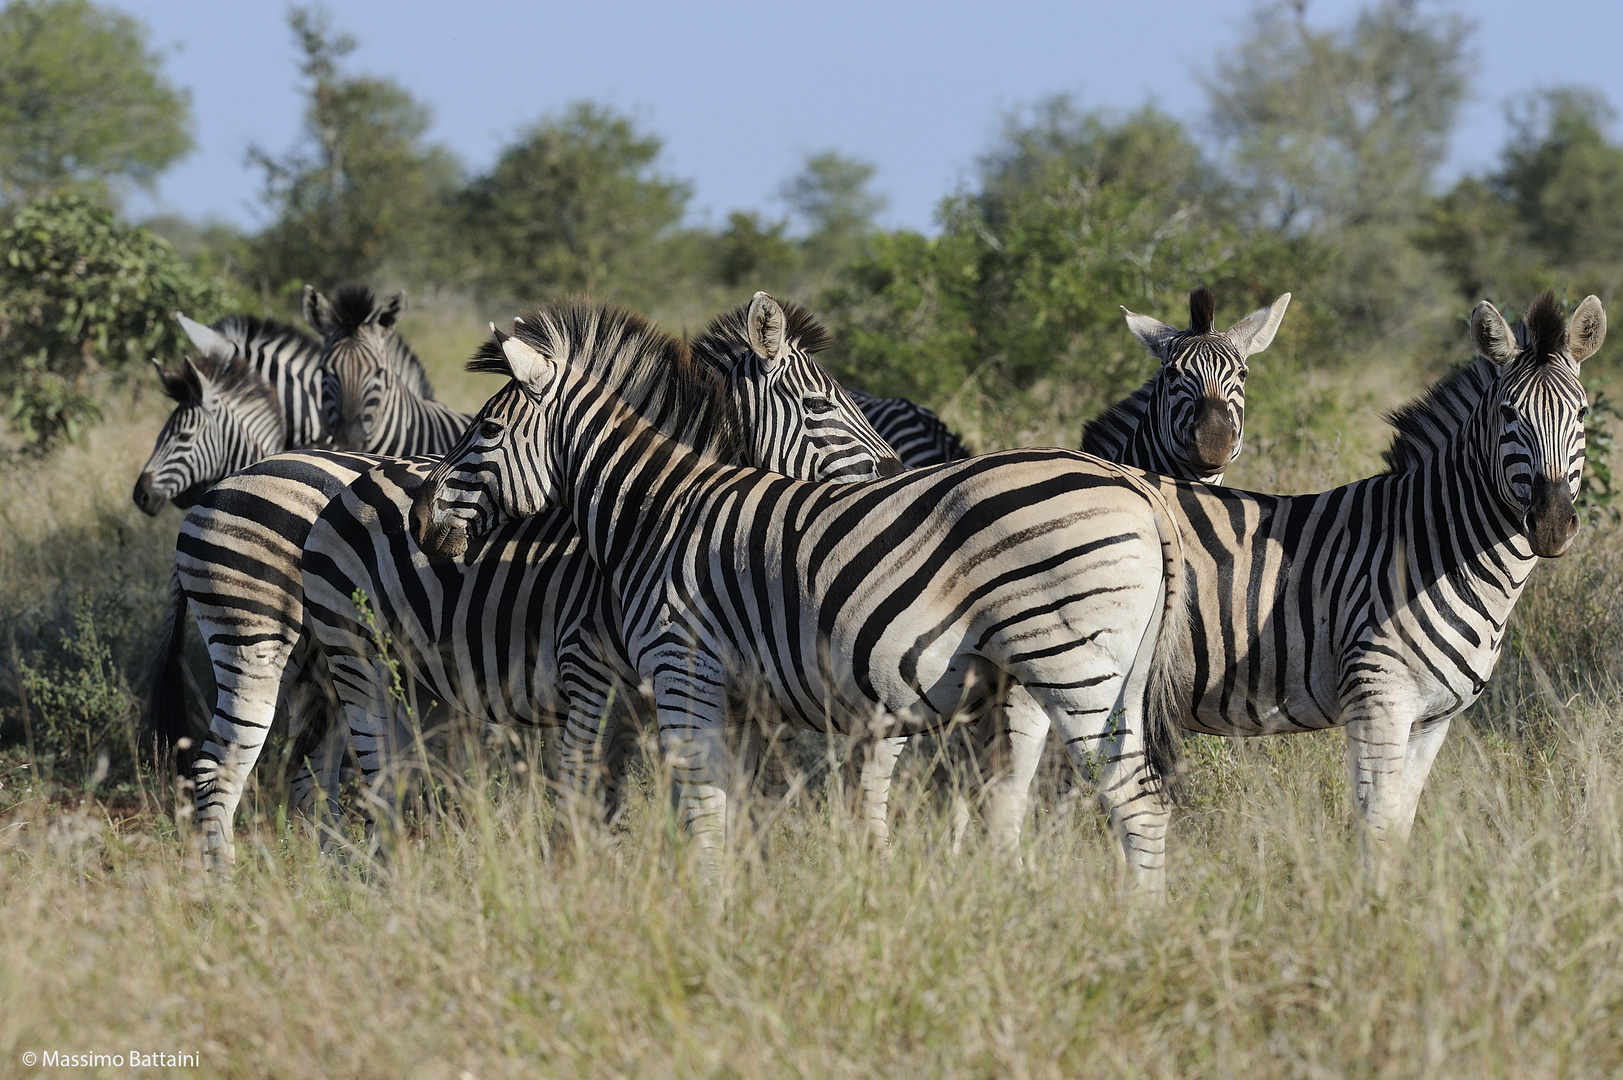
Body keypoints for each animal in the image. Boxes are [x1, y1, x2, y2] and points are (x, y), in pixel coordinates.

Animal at [412, 300, 1188, 883]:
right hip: (1072, 677)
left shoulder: (675, 667)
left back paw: (1136, 926)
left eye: (486, 429)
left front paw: (708, 912)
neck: (657, 507)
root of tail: (1137, 489)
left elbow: (695, 810)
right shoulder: (742, 699)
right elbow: (736, 812)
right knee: (1048, 802)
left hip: (1070, 663)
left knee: (1137, 803)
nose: (419, 519)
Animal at [1149, 292, 1603, 883]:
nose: (1550, 524)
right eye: (1509, 414)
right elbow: (1377, 827)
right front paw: (1372, 905)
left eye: (1583, 413)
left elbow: (1401, 823)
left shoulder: (1432, 720)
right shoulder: (1377, 700)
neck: (1431, 543)